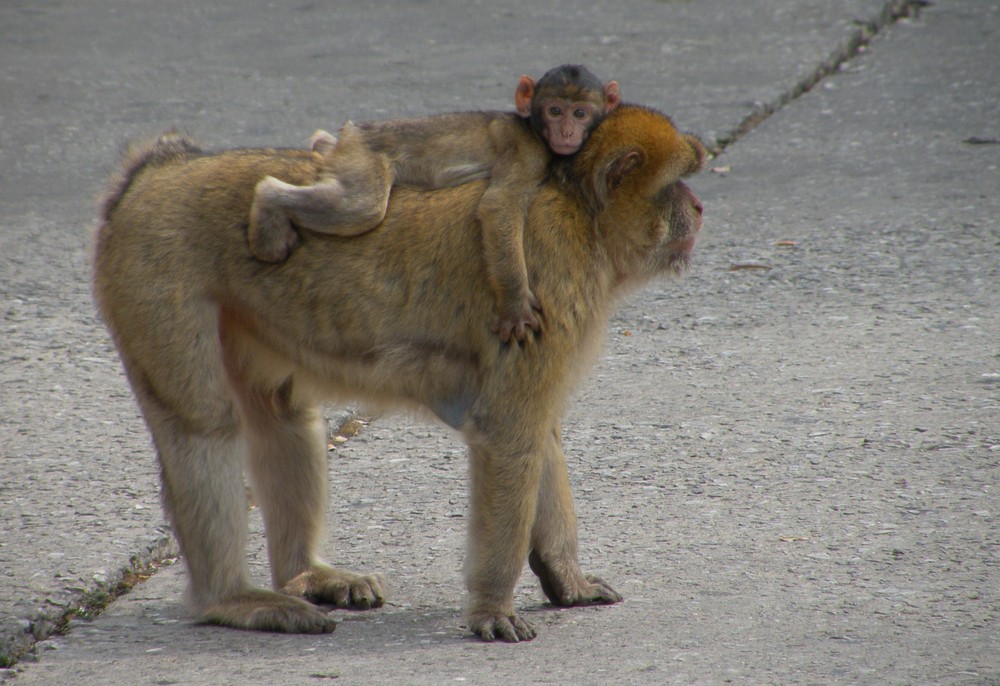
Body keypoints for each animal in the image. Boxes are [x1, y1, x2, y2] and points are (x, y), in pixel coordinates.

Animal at [92, 105, 704, 644]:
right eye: (677, 183)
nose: (698, 205)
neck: (583, 216)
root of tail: (159, 169)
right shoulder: (552, 284)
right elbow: (510, 433)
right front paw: (492, 607)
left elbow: (538, 433)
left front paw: (565, 578)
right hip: (154, 269)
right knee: (202, 424)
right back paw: (230, 599)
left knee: (283, 414)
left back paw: (306, 574)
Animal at [249, 64, 620, 342]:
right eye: (556, 111)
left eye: (580, 113)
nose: (567, 132)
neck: (533, 127)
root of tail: (351, 133)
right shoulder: (528, 151)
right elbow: (498, 206)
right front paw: (515, 307)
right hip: (361, 156)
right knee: (361, 207)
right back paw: (268, 202)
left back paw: (319, 146)